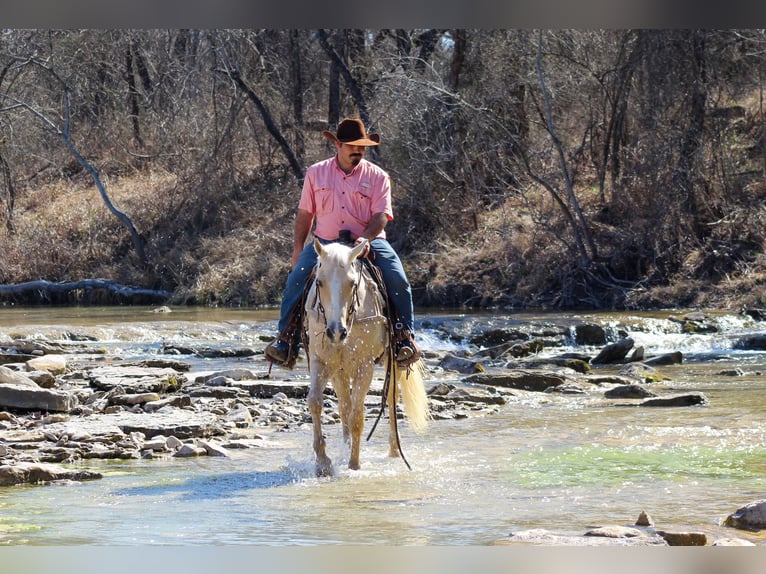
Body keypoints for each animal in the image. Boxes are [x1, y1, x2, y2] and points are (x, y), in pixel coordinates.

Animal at [304, 238, 428, 476]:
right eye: (320, 282)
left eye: (352, 283)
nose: (336, 332)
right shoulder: (320, 361)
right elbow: (315, 402)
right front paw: (323, 463)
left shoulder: (364, 366)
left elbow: (357, 416)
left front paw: (354, 464)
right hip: (339, 371)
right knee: (344, 406)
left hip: (393, 363)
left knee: (390, 399)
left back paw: (394, 450)